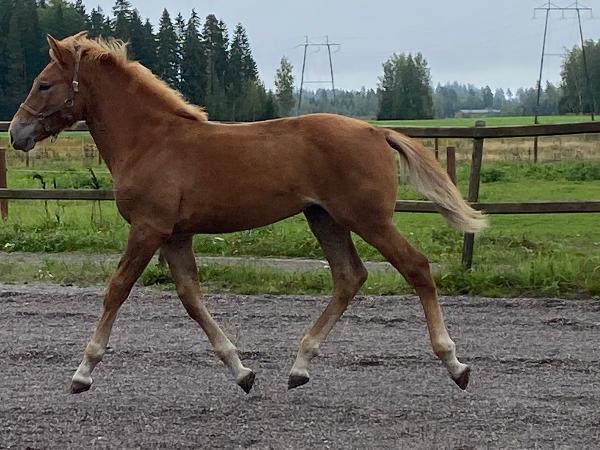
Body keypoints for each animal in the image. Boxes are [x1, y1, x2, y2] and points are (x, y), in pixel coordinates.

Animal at [9, 33, 487, 395]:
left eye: (45, 84)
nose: (16, 133)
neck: (150, 141)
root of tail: (377, 130)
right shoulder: (175, 235)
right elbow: (191, 298)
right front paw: (242, 372)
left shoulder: (148, 229)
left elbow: (116, 290)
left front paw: (82, 373)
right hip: (324, 218)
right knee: (349, 276)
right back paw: (299, 367)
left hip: (368, 219)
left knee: (416, 267)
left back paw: (456, 365)